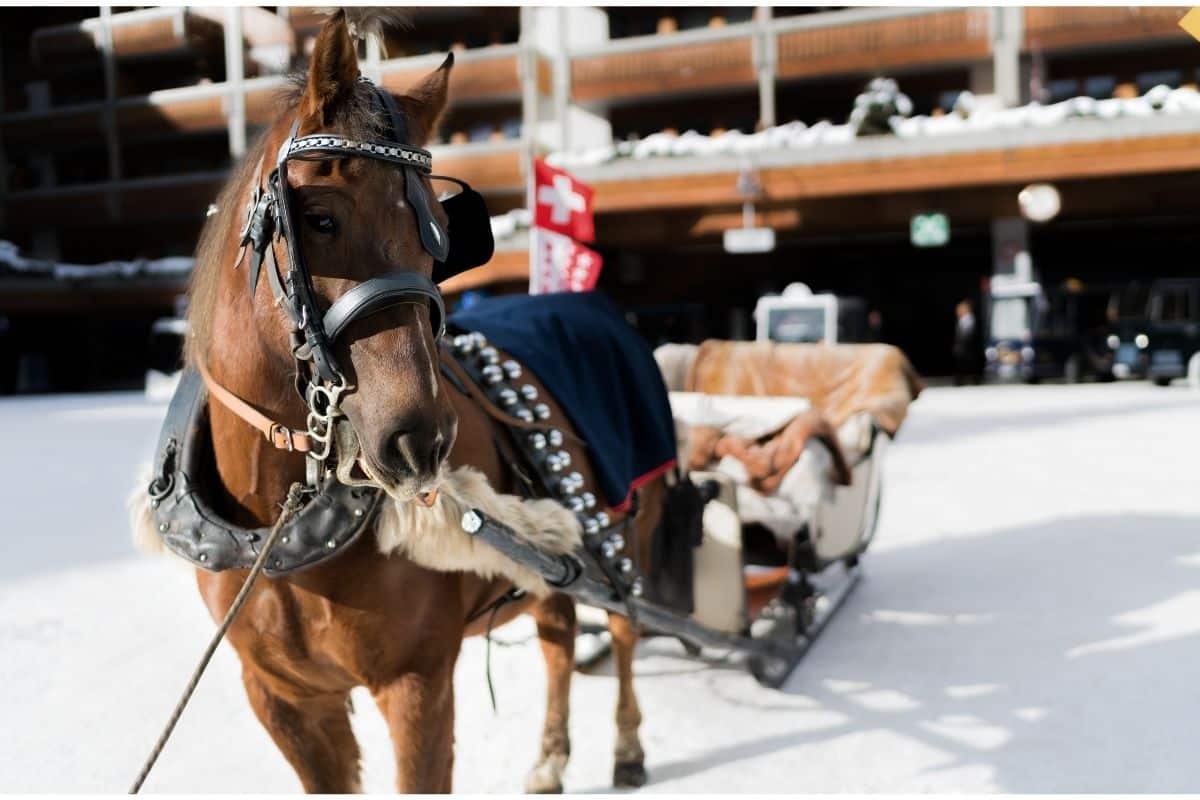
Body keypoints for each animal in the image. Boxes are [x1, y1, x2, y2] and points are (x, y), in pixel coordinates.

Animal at [140, 12, 672, 796]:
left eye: (441, 242)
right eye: (319, 219)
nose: (418, 441)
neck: (280, 524)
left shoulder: (417, 682)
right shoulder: (284, 699)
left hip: (627, 526)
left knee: (627, 625)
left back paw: (628, 743)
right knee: (558, 632)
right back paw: (550, 755)